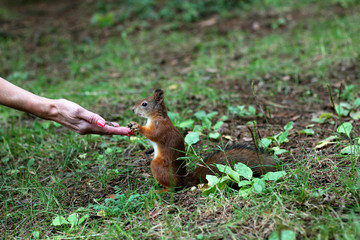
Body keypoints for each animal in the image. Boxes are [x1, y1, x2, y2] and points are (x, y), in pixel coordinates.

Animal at [128, 88, 278, 189]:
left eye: (144, 104)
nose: (132, 109)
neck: (157, 116)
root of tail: (183, 180)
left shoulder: (160, 128)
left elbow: (153, 135)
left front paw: (137, 126)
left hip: (158, 166)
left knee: (174, 188)